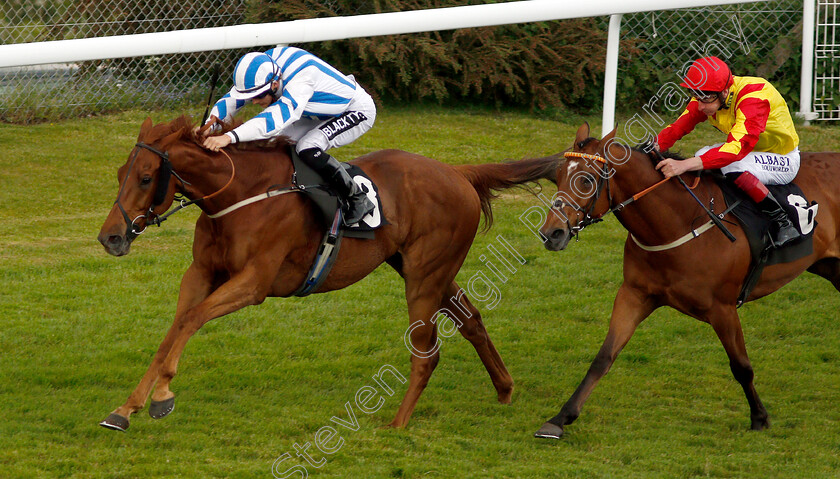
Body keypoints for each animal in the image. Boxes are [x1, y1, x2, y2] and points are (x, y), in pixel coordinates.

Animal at [97, 115, 556, 432]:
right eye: (120, 174)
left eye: (145, 178)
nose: (110, 237)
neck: (240, 195)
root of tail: (458, 173)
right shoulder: (200, 274)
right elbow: (174, 329)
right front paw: (126, 408)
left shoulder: (254, 282)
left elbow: (191, 320)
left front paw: (162, 396)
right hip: (421, 268)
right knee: (471, 319)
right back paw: (504, 389)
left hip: (424, 277)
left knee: (428, 352)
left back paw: (398, 423)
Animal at [536, 123, 840, 438]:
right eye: (557, 176)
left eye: (585, 180)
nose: (551, 233)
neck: (679, 221)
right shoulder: (634, 294)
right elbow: (603, 357)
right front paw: (559, 419)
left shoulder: (723, 308)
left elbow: (741, 366)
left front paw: (759, 417)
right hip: (831, 267)